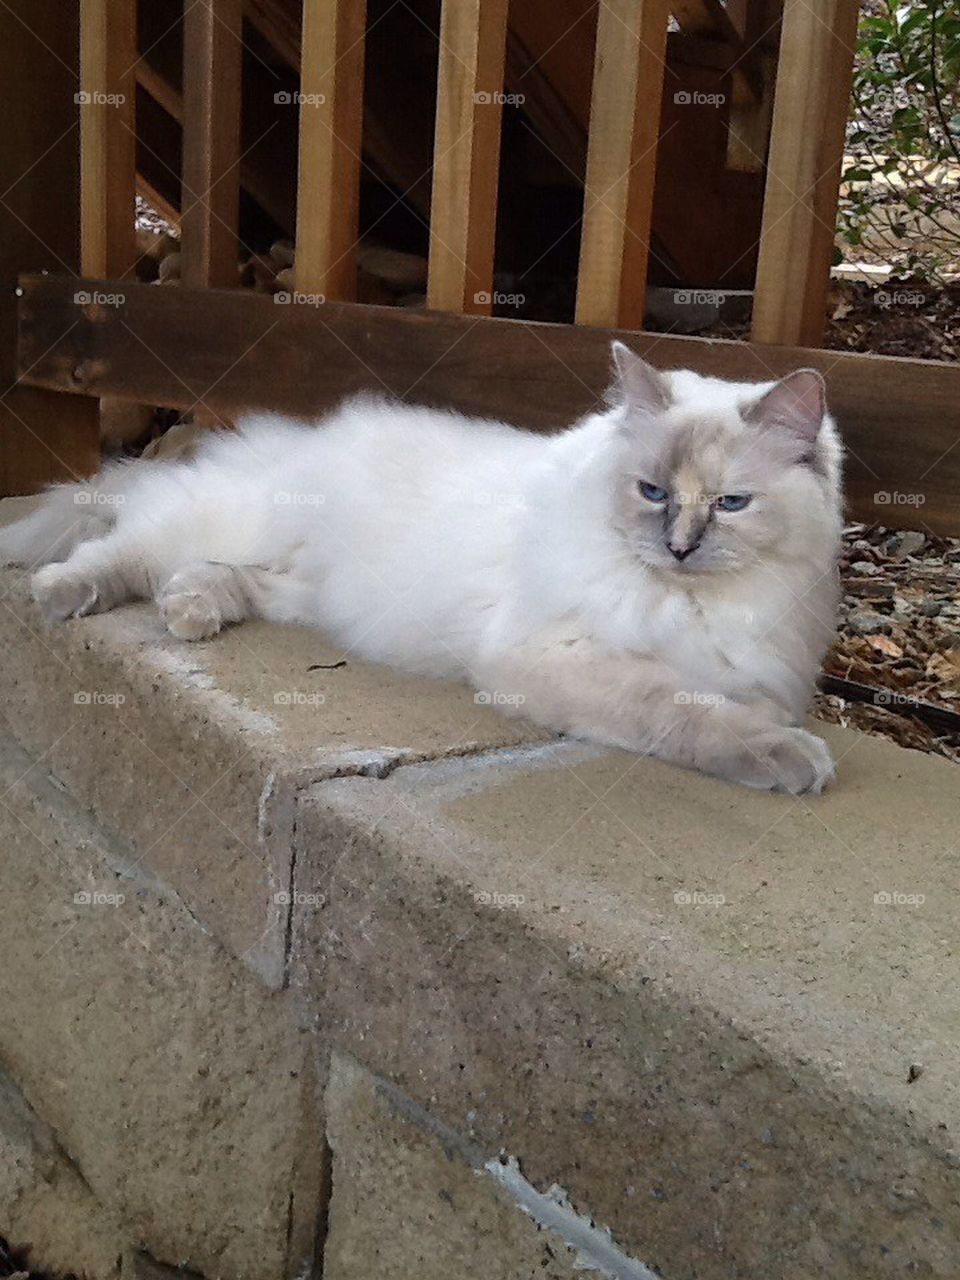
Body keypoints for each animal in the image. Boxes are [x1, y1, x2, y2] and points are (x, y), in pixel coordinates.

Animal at [0, 345, 839, 793]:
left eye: (731, 503)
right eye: (652, 493)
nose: (680, 548)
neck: (694, 602)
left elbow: (720, 699)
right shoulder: (551, 654)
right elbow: (682, 707)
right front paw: (786, 757)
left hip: (304, 590)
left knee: (220, 576)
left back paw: (192, 612)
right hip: (220, 519)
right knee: (123, 550)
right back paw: (61, 593)